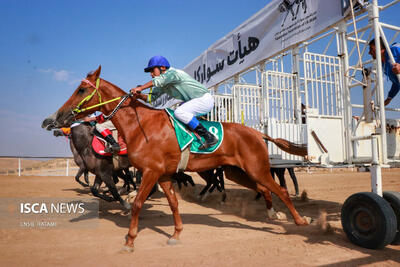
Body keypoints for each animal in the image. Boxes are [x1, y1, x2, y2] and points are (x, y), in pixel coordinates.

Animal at [41, 66, 310, 252]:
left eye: (82, 90)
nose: (55, 117)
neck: (141, 125)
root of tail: (256, 132)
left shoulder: (150, 172)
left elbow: (137, 203)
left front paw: (130, 240)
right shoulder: (164, 175)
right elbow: (173, 204)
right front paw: (176, 234)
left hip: (256, 168)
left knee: (281, 190)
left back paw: (299, 220)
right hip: (238, 172)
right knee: (264, 189)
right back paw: (273, 215)